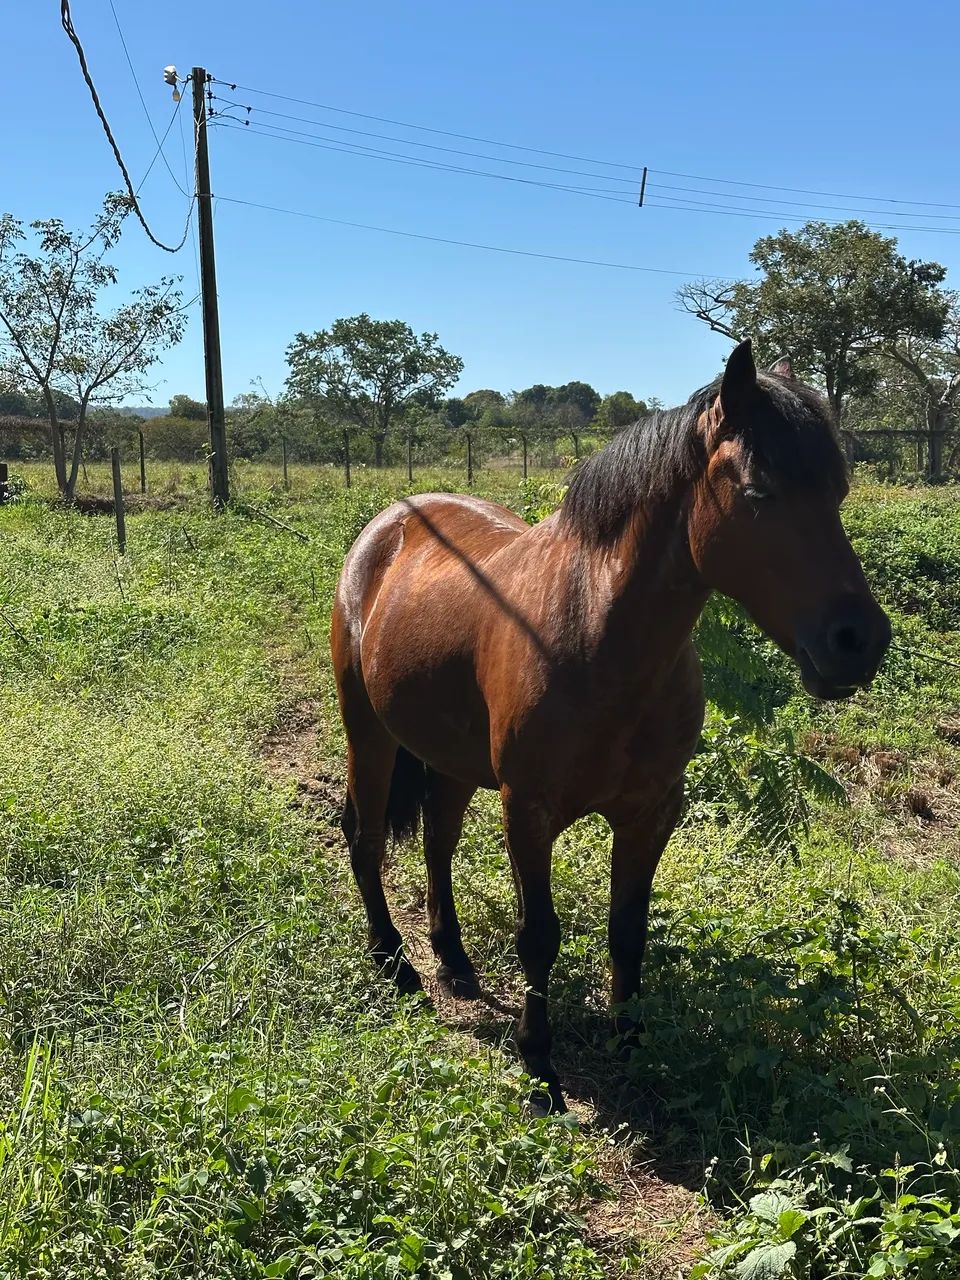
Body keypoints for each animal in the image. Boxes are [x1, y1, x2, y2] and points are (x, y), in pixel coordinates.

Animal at [330, 339, 891, 1112]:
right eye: (758, 493)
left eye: (838, 493)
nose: (858, 642)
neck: (594, 633)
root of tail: (389, 525)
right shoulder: (528, 811)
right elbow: (538, 936)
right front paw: (540, 1067)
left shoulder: (652, 811)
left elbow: (628, 929)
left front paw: (634, 1042)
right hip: (370, 733)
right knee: (365, 837)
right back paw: (394, 962)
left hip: (452, 759)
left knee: (438, 843)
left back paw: (455, 963)